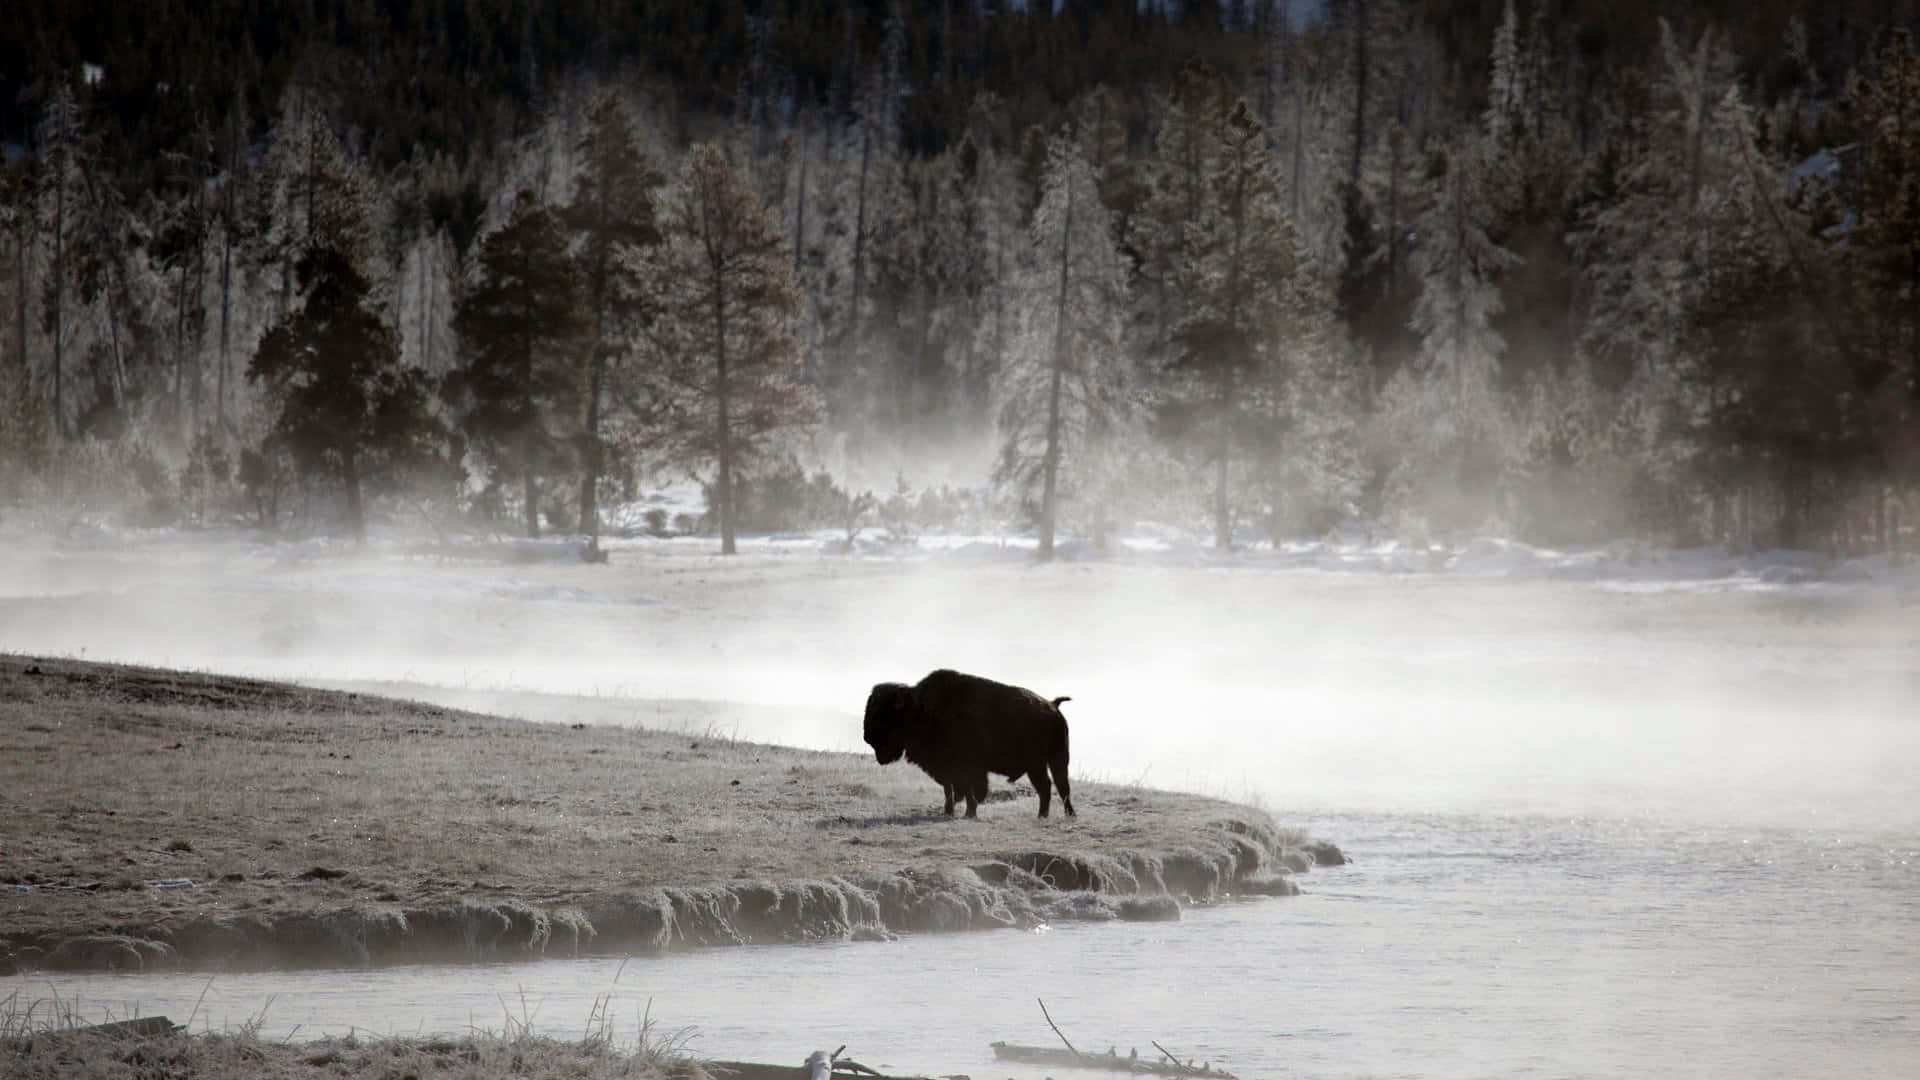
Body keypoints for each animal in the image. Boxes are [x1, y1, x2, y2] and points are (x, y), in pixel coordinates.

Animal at [864, 664, 1075, 814]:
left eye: (882, 714)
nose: (867, 736)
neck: (920, 708)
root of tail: (1053, 706)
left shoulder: (966, 768)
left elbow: (968, 790)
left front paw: (969, 813)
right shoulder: (947, 769)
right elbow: (951, 790)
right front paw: (949, 812)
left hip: (1047, 761)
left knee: (1054, 786)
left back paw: (1054, 815)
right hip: (1045, 763)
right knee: (1054, 787)